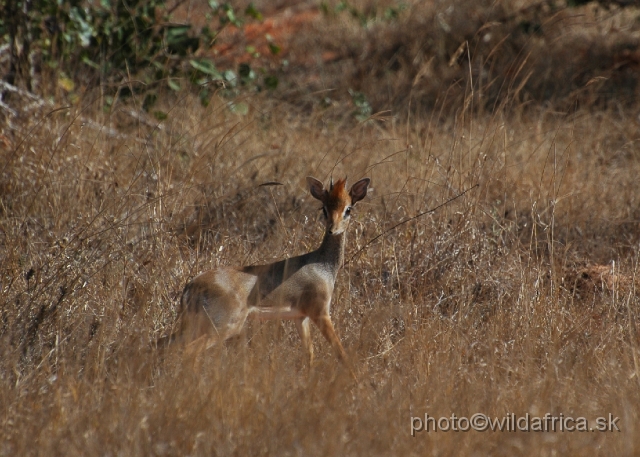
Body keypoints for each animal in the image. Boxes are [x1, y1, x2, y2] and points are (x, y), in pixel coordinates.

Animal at [175, 176, 372, 376]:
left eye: (348, 208)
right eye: (324, 208)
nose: (332, 229)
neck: (322, 265)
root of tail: (191, 286)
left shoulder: (300, 318)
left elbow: (309, 354)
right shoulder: (321, 313)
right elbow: (341, 353)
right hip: (224, 326)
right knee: (189, 351)